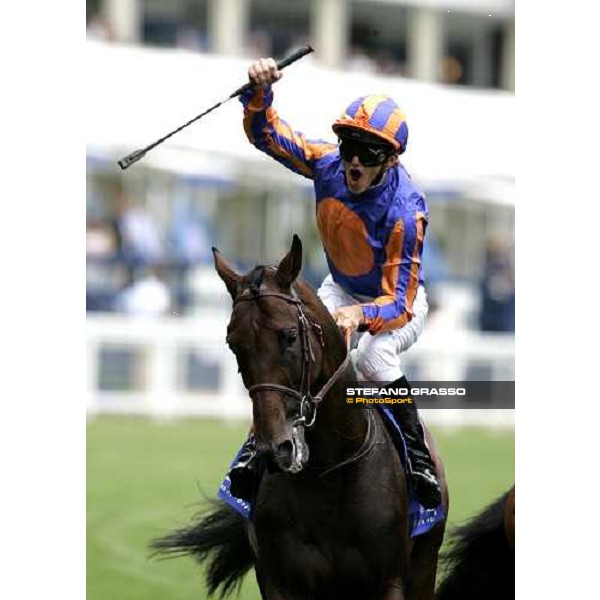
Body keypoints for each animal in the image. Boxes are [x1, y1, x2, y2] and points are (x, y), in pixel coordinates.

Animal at [152, 236, 448, 600]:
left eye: (290, 336)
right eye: (234, 344)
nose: (273, 449)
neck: (328, 473)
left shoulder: (388, 581)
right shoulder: (280, 581)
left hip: (424, 565)